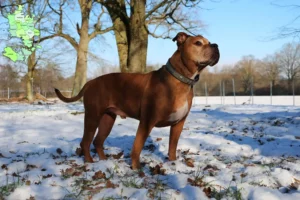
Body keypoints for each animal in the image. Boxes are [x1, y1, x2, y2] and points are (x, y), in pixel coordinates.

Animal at [55, 32, 219, 169]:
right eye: (198, 43)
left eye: (209, 42)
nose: (216, 45)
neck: (180, 78)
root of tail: (90, 82)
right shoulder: (147, 122)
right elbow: (137, 146)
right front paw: (137, 169)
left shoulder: (178, 123)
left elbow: (172, 146)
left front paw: (173, 163)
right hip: (92, 116)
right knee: (86, 142)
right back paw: (90, 162)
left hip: (108, 119)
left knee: (98, 141)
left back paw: (104, 161)